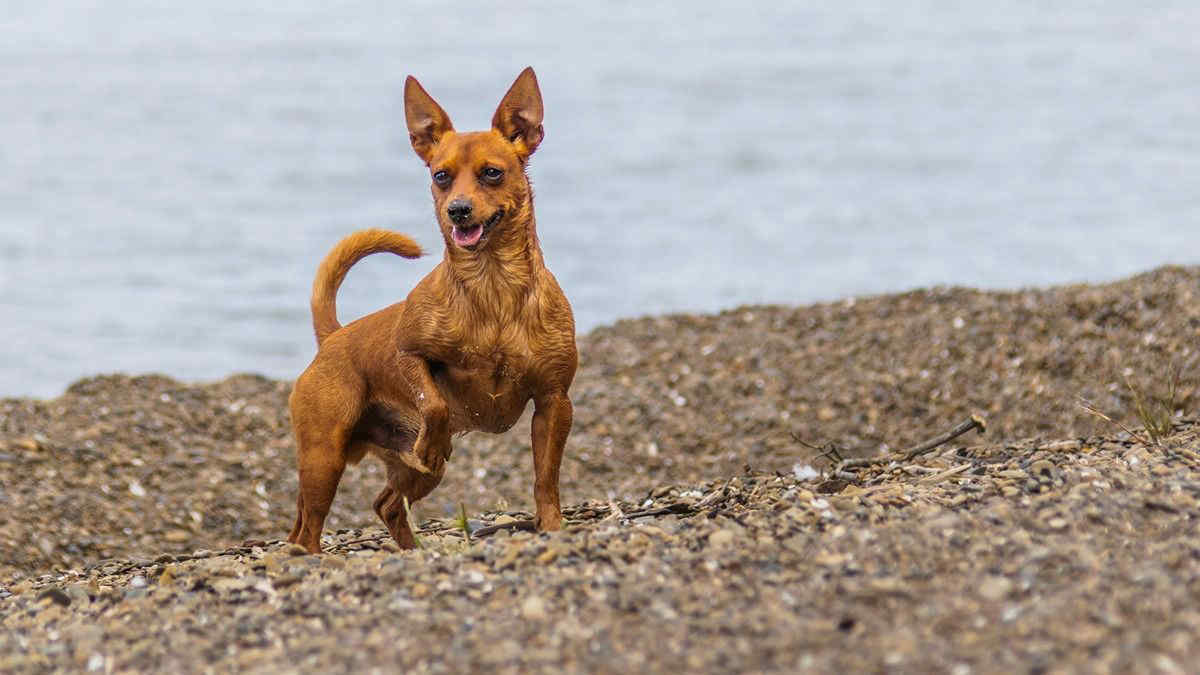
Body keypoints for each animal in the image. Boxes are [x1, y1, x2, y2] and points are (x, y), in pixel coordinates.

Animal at [285, 68, 576, 552]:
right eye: (441, 176)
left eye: (492, 173)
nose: (457, 209)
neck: (492, 287)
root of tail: (333, 337)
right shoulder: (408, 352)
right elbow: (434, 401)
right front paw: (434, 436)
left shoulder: (554, 402)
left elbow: (545, 478)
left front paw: (551, 525)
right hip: (324, 457)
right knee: (309, 525)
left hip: (405, 471)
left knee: (384, 504)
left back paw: (410, 551)